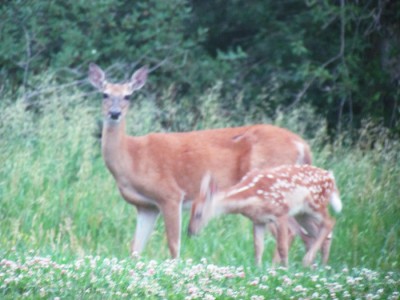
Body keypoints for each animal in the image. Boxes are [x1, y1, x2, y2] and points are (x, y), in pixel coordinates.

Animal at [88, 62, 318, 258]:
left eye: (128, 96)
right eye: (104, 94)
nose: (115, 113)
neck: (132, 157)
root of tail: (302, 145)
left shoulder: (170, 195)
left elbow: (174, 245)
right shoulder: (147, 206)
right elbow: (135, 248)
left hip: (273, 192)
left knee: (292, 232)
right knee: (310, 232)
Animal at [187, 164, 340, 268]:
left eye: (198, 214)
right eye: (191, 210)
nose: (190, 232)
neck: (252, 195)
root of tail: (331, 178)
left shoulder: (281, 212)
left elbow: (282, 246)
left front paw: (285, 268)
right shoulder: (258, 220)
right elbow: (258, 247)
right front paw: (258, 268)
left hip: (315, 204)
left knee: (330, 222)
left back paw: (308, 261)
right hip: (302, 214)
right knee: (318, 233)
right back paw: (319, 265)